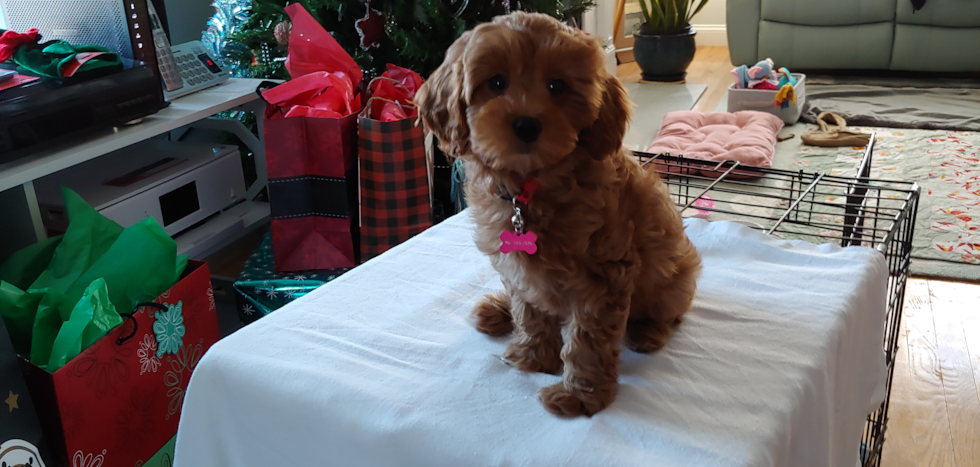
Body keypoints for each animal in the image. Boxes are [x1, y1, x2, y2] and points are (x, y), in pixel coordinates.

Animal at [418, 12, 700, 418]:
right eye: (496, 83)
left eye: (558, 86)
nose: (526, 124)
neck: (529, 189)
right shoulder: (518, 266)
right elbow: (529, 311)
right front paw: (534, 357)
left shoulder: (604, 278)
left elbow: (587, 341)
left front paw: (579, 396)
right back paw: (499, 310)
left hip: (675, 277)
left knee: (670, 313)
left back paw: (645, 331)